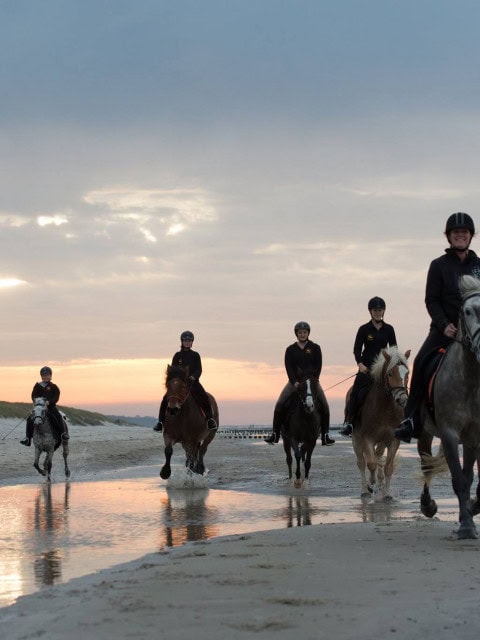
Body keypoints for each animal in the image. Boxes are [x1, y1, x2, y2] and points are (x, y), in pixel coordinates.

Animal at [346, 348, 410, 498]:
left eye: (407, 373)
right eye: (390, 373)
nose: (402, 398)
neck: (385, 409)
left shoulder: (393, 440)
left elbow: (388, 467)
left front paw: (386, 493)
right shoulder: (367, 439)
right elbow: (371, 464)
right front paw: (371, 484)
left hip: (381, 441)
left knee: (378, 456)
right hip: (356, 440)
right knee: (361, 463)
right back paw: (365, 489)